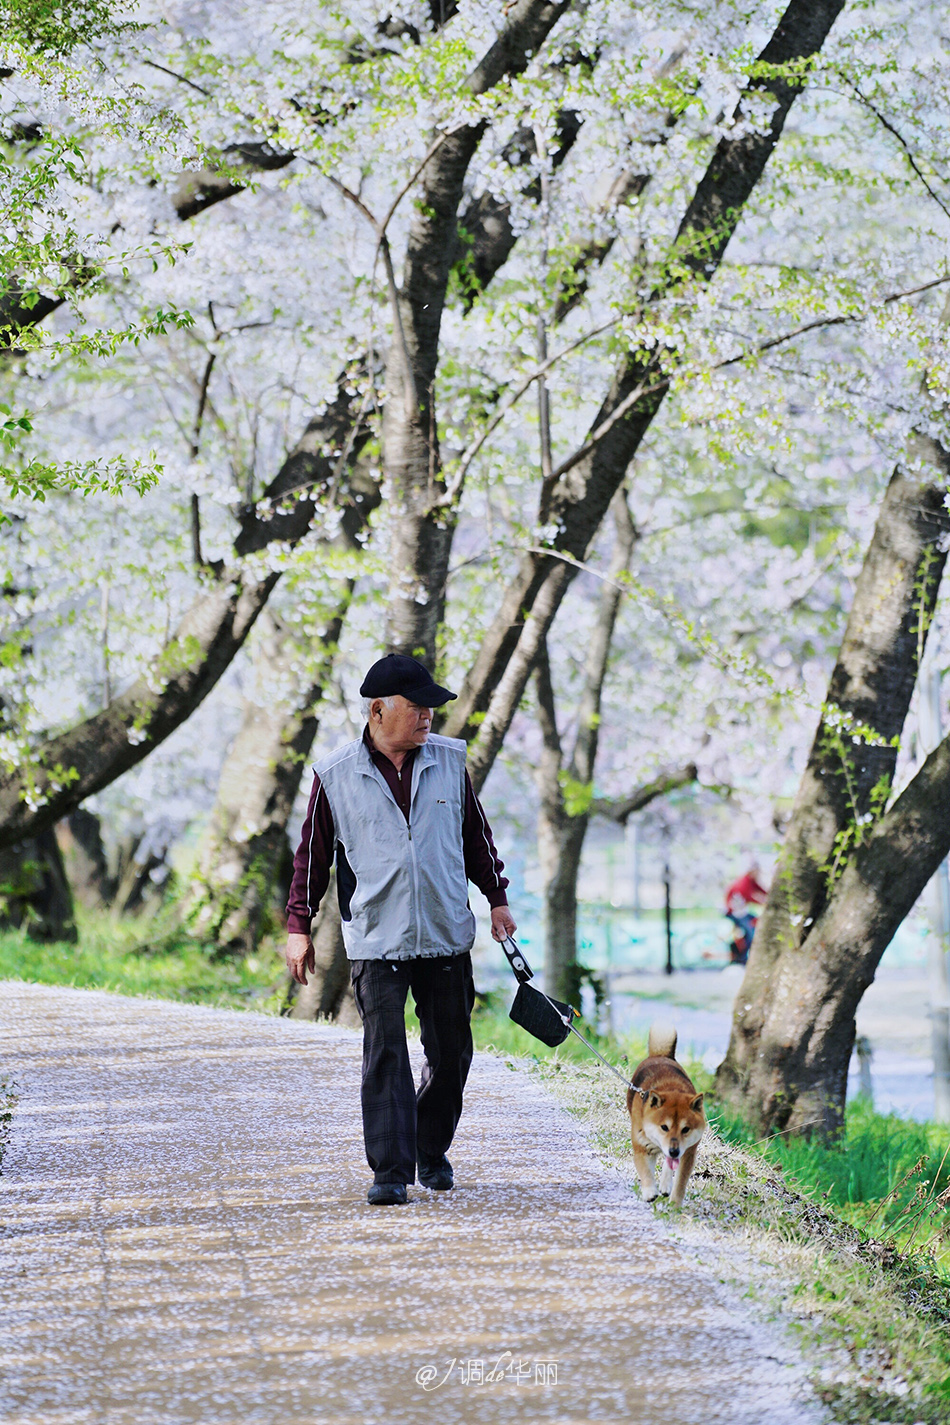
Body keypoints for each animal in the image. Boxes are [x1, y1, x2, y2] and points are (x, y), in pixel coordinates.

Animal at [626, 1020, 709, 1208]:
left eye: (686, 1129)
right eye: (664, 1127)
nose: (674, 1151)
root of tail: (661, 1055)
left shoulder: (688, 1153)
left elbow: (680, 1182)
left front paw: (675, 1205)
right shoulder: (641, 1146)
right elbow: (645, 1171)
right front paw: (649, 1192)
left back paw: (665, 1185)